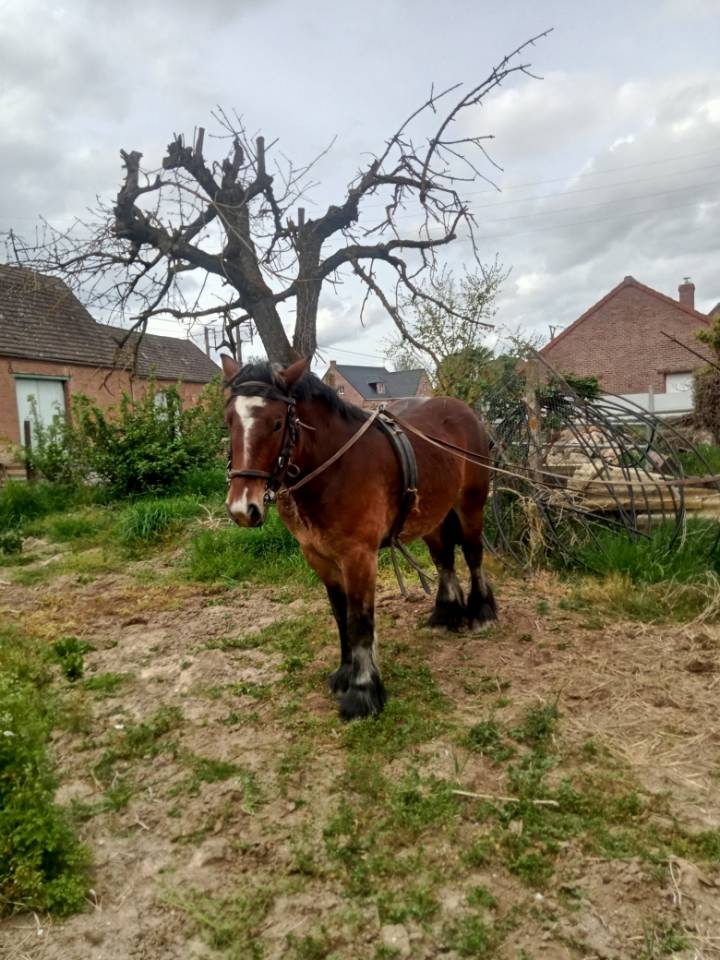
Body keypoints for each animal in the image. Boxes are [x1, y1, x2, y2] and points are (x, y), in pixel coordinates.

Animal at [221, 355, 496, 721]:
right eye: (229, 421)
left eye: (278, 423)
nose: (243, 508)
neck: (333, 468)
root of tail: (463, 409)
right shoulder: (318, 556)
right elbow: (341, 616)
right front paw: (345, 673)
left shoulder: (359, 556)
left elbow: (360, 621)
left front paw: (363, 692)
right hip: (433, 514)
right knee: (444, 559)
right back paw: (445, 614)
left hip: (470, 505)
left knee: (472, 553)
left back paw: (482, 612)